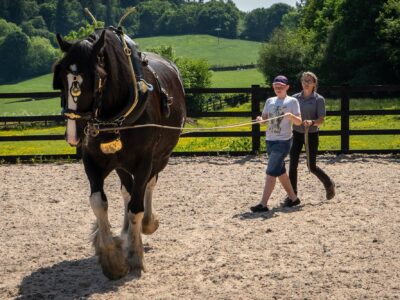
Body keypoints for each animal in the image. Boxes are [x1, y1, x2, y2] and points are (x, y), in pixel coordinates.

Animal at [52, 27, 188, 280]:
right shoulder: (93, 162)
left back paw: (147, 223)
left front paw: (135, 255)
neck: (113, 116)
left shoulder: (145, 161)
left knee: (147, 187)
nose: (74, 135)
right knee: (127, 190)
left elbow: (137, 206)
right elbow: (99, 203)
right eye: (61, 78)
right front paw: (112, 259)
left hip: (161, 157)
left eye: (96, 77)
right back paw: (126, 230)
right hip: (121, 165)